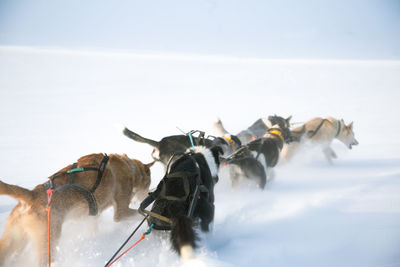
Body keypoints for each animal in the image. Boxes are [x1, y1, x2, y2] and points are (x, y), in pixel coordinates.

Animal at [0, 154, 153, 266]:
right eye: (149, 182)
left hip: (13, 241)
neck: (129, 168)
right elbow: (139, 214)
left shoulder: (93, 216)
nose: (149, 194)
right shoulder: (121, 212)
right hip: (49, 241)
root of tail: (31, 195)